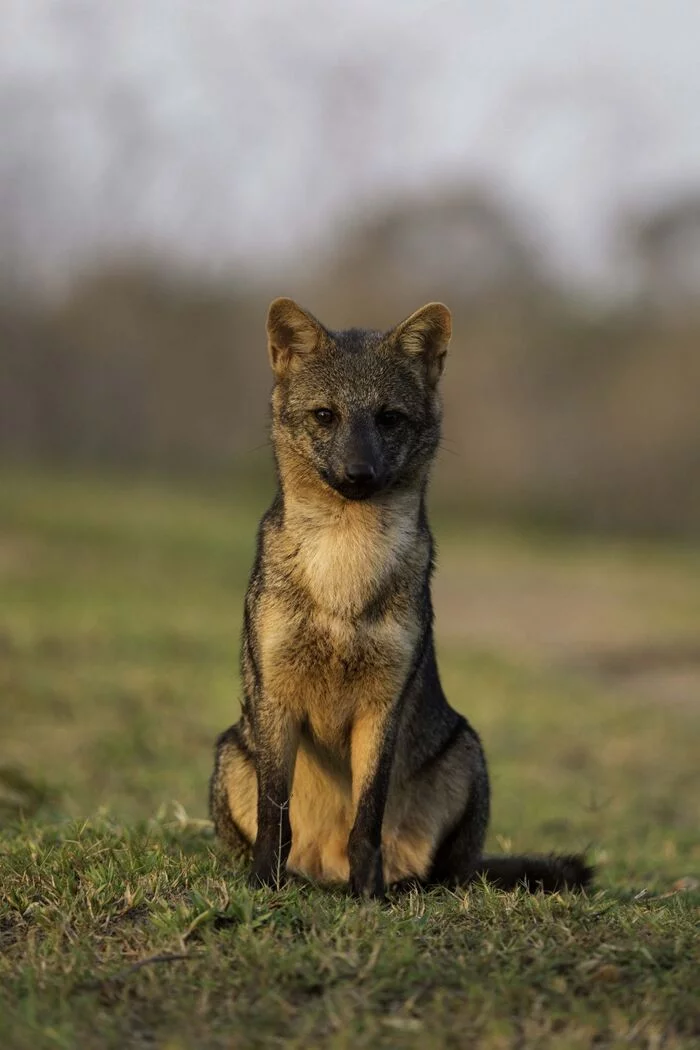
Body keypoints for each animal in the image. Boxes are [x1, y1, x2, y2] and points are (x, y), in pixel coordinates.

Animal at [210, 300, 596, 898]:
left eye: (388, 418)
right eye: (325, 416)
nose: (358, 473)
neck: (344, 580)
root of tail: (324, 873)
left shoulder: (382, 705)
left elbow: (366, 822)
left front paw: (368, 896)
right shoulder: (276, 696)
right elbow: (276, 818)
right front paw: (262, 885)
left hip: (465, 754)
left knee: (444, 874)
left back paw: (393, 888)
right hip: (232, 752)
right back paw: (297, 881)